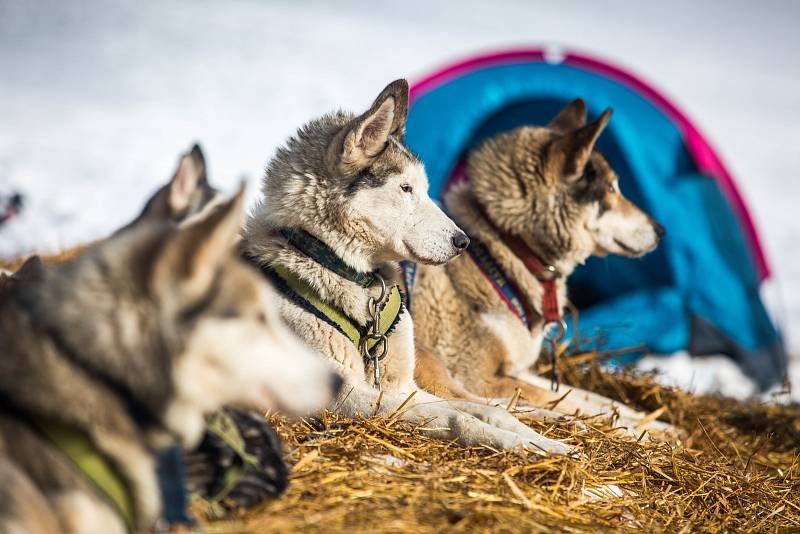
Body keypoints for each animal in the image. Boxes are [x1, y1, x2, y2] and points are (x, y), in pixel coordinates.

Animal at [244, 79, 576, 456]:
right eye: (405, 188)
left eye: (427, 190)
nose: (463, 241)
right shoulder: (345, 395)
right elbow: (459, 418)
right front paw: (516, 443)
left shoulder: (404, 388)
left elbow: (489, 411)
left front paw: (546, 443)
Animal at [416, 100, 672, 436]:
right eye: (611, 189)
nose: (661, 230)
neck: (504, 253)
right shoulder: (480, 378)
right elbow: (574, 402)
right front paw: (640, 430)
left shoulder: (517, 368)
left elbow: (590, 396)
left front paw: (656, 422)